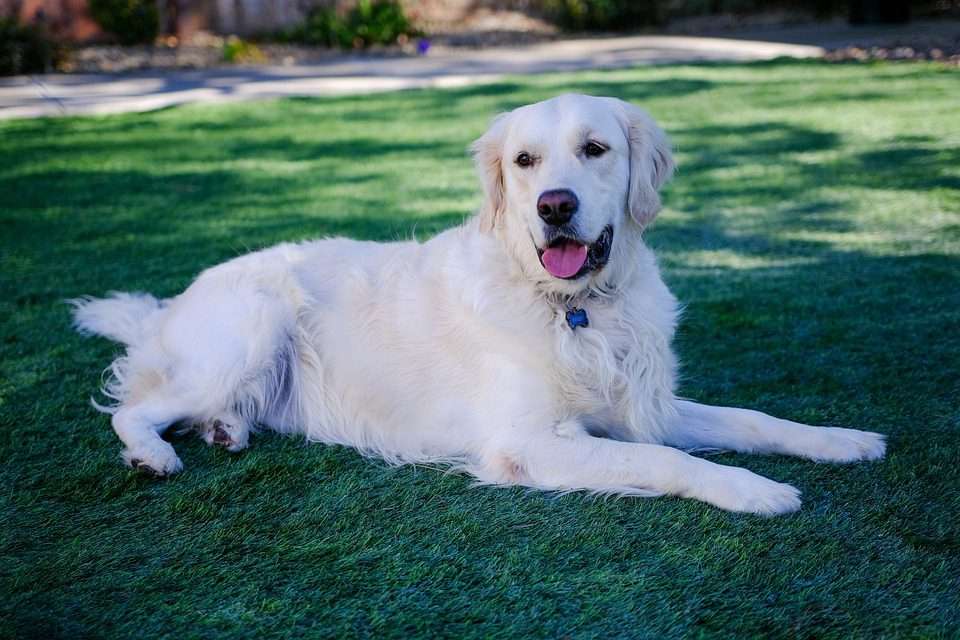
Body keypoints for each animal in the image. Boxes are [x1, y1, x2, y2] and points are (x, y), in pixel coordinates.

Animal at [73, 94, 884, 516]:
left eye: (595, 149)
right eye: (524, 161)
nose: (555, 206)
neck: (574, 306)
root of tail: (171, 304)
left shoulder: (643, 402)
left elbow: (751, 419)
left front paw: (840, 440)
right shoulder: (529, 440)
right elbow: (661, 460)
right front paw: (756, 490)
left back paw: (227, 431)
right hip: (250, 327)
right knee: (134, 407)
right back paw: (155, 452)